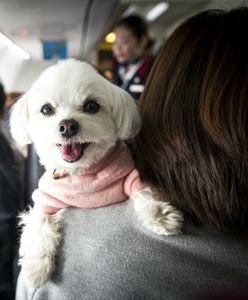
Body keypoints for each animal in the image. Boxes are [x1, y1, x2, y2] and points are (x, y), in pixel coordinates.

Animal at [10, 59, 183, 288]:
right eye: (46, 109)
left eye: (92, 106)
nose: (67, 126)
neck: (83, 173)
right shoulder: (45, 199)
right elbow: (39, 223)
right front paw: (36, 267)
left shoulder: (129, 174)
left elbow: (143, 191)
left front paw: (160, 216)